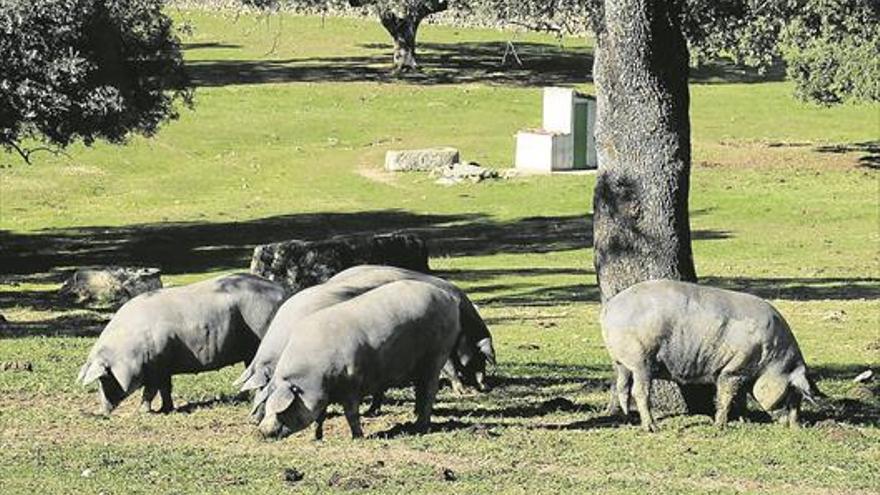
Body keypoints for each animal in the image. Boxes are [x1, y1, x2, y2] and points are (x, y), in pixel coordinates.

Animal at [78, 274, 286, 416]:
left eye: (104, 378)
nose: (102, 412)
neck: (129, 351)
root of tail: (282, 292)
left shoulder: (157, 363)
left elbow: (150, 390)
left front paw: (142, 412)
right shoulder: (163, 365)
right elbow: (165, 389)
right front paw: (165, 409)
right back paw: (244, 397)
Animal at [256, 280, 458, 440]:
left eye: (284, 410)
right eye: (267, 407)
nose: (262, 431)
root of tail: (448, 297)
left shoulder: (352, 382)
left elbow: (351, 413)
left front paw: (357, 437)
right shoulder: (323, 393)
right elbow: (320, 416)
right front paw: (316, 438)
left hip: (438, 353)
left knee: (430, 389)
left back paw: (421, 425)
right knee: (420, 389)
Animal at [600, 280, 820, 432]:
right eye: (792, 391)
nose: (799, 426)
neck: (772, 359)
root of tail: (609, 308)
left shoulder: (741, 373)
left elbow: (740, 398)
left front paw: (744, 420)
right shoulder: (734, 369)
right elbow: (726, 396)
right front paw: (720, 426)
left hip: (620, 361)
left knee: (620, 386)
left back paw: (627, 418)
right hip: (641, 360)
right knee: (639, 391)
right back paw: (652, 427)